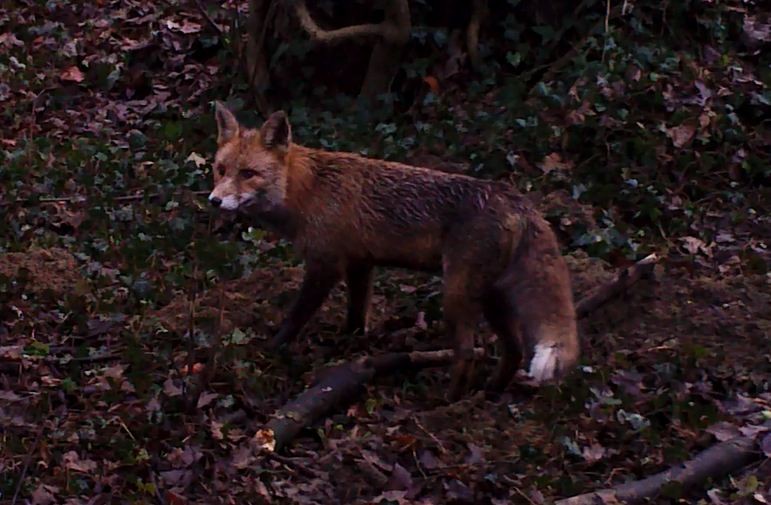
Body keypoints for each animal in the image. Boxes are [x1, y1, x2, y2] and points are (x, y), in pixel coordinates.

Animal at [208, 102, 579, 400]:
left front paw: (272, 349)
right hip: (491, 296)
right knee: (513, 350)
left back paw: (446, 402)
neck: (307, 189)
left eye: (249, 173)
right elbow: (357, 314)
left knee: (468, 353)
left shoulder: (325, 264)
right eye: (220, 170)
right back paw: (489, 393)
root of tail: (515, 198)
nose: (214, 200)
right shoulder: (360, 263)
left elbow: (296, 316)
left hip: (457, 296)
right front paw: (350, 347)